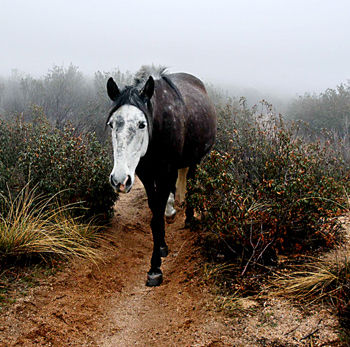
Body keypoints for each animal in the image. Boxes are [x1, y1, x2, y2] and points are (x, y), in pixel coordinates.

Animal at [106, 66, 216, 286]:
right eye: (112, 124)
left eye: (141, 124)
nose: (119, 180)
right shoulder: (146, 174)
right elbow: (155, 211)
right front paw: (162, 246)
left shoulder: (167, 171)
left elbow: (157, 216)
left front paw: (155, 268)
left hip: (193, 161)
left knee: (190, 184)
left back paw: (189, 219)